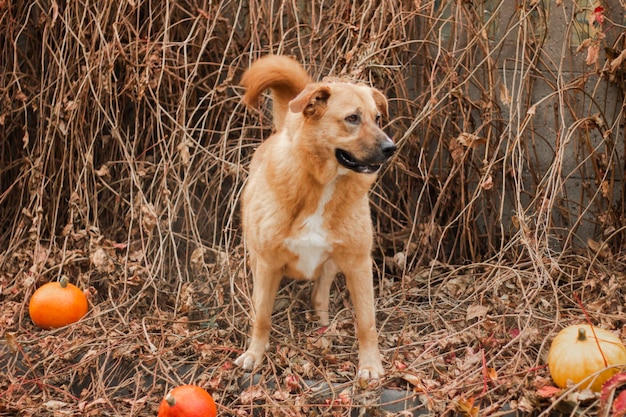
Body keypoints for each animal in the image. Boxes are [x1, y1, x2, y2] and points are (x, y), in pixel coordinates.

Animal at [234, 56, 394, 380]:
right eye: (352, 118)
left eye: (377, 118)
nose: (391, 148)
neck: (322, 186)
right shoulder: (267, 263)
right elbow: (261, 316)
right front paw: (255, 354)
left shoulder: (359, 264)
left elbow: (367, 322)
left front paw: (370, 365)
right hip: (256, 259)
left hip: (331, 263)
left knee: (319, 299)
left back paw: (323, 334)